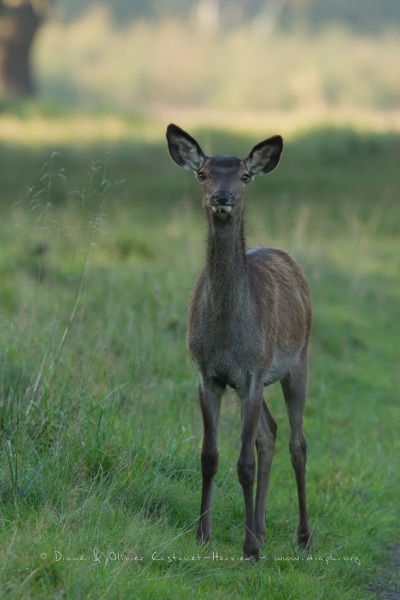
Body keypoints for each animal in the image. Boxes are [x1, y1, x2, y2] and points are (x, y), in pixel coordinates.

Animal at [166, 124, 312, 560]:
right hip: (265, 378)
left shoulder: (250, 374)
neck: (228, 337)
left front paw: (248, 551)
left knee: (298, 443)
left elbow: (243, 464)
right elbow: (209, 456)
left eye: (244, 176)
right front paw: (203, 534)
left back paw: (303, 536)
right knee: (270, 432)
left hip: (298, 361)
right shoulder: (207, 375)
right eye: (203, 174)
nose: (222, 197)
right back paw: (261, 527)